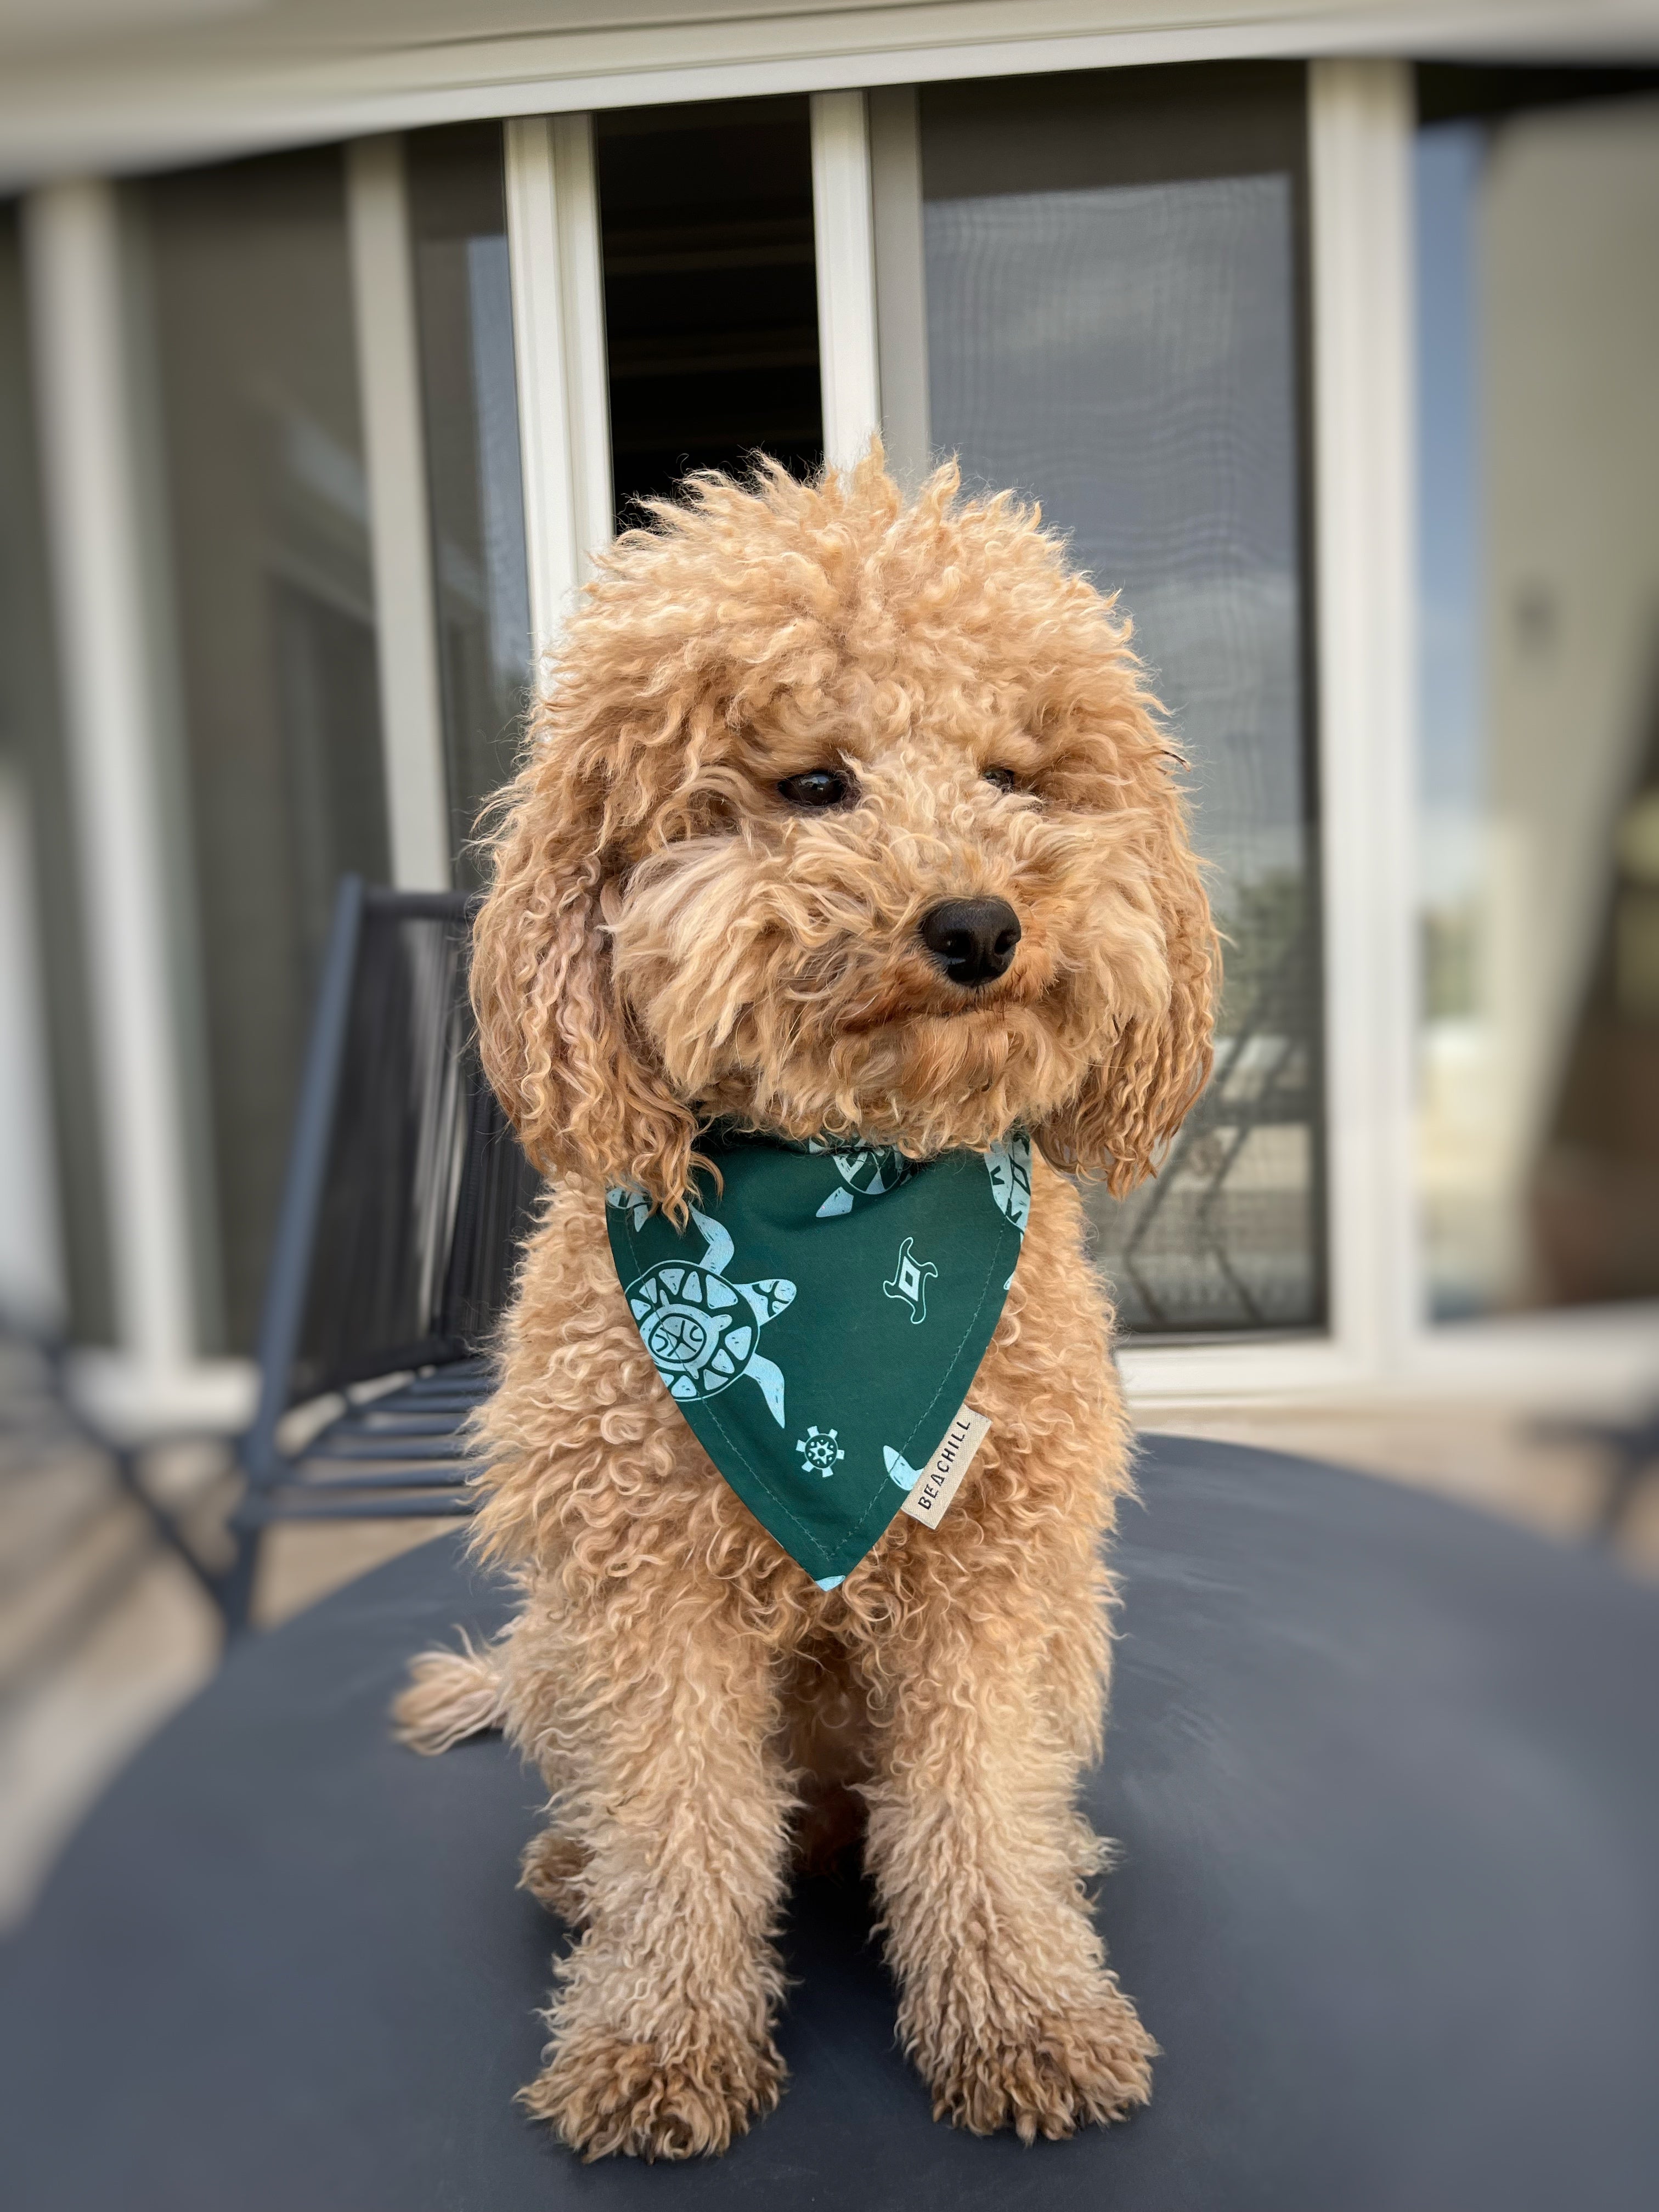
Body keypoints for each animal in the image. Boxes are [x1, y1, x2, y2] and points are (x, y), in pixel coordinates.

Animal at [393, 444, 1212, 2159]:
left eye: (1015, 776)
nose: (978, 923)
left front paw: (1023, 2014)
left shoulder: (993, 1582)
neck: (847, 1187)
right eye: (815, 785)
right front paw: (657, 2038)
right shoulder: (643, 1594)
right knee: (625, 1806)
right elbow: (675, 1822)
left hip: (1070, 1639)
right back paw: (574, 1870)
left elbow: (975, 1809)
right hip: (558, 1646)